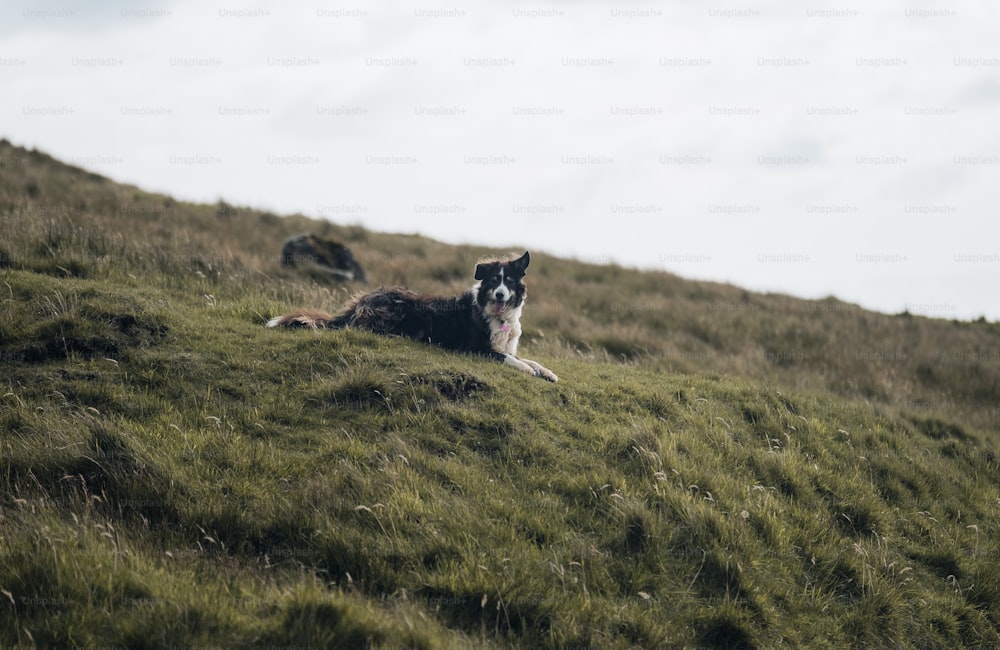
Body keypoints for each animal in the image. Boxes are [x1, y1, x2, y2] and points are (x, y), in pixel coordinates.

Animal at [270, 248, 560, 380]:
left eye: (509, 281)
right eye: (493, 281)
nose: (500, 295)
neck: (497, 317)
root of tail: (361, 301)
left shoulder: (504, 345)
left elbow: (529, 359)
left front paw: (548, 372)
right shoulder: (476, 348)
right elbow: (510, 360)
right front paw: (528, 370)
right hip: (404, 309)